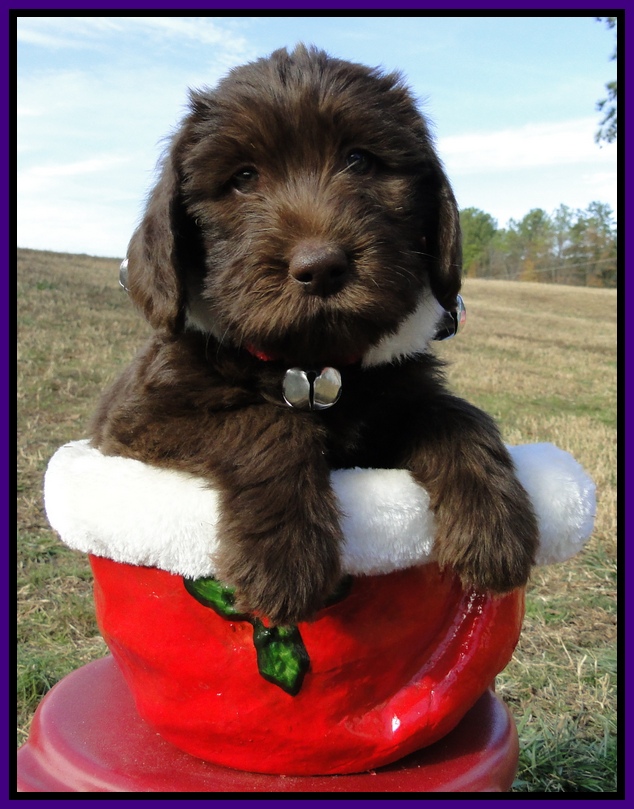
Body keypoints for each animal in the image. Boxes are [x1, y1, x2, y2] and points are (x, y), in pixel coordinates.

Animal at [91, 45, 538, 625]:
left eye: (360, 161)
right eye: (243, 177)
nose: (321, 267)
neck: (312, 366)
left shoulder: (398, 401)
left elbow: (456, 413)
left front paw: (495, 523)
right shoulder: (136, 423)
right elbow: (270, 423)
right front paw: (285, 557)